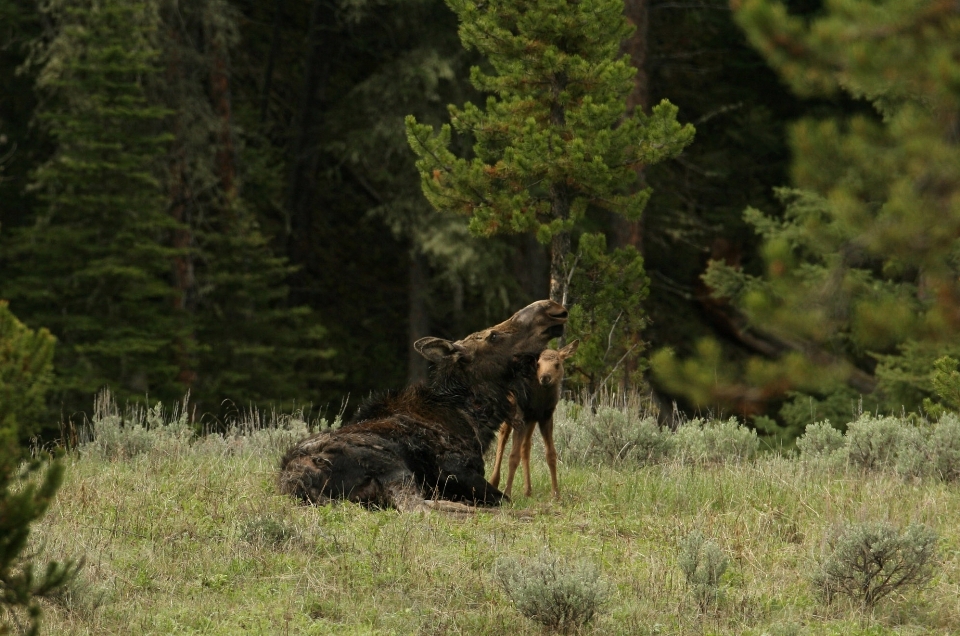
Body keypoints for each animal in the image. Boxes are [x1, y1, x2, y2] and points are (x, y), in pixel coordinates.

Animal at [488, 340, 576, 500]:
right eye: (538, 364)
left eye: (557, 364)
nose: (545, 378)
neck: (540, 400)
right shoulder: (520, 417)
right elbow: (513, 456)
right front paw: (507, 493)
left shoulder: (545, 418)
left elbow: (551, 455)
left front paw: (556, 495)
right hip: (509, 414)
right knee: (501, 439)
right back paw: (494, 482)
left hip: (531, 421)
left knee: (525, 447)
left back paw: (528, 490)